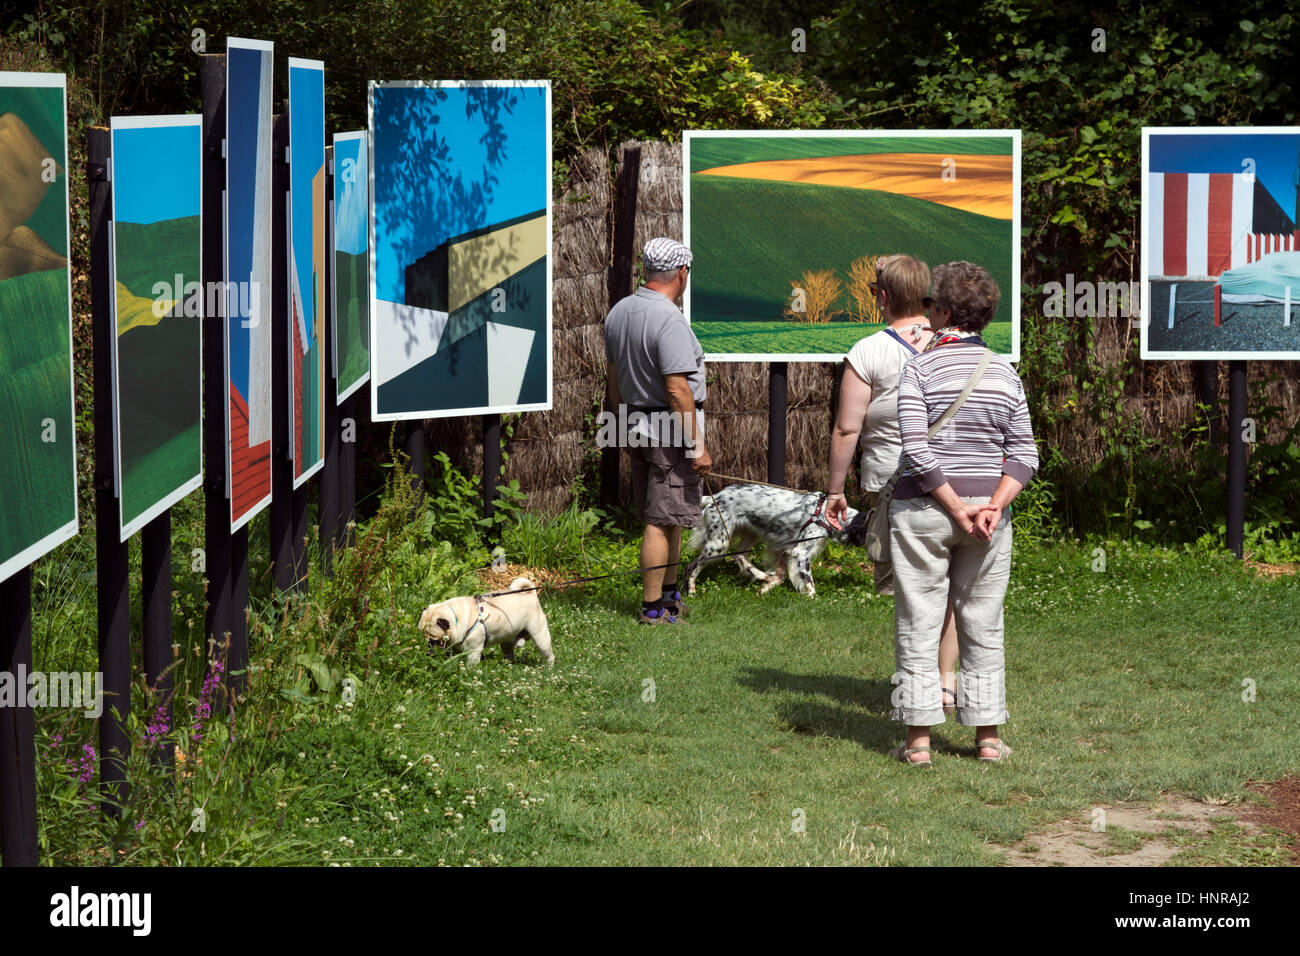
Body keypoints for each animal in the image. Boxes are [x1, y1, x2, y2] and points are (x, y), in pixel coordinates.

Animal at [686, 486, 868, 598]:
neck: (827, 516)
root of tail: (714, 497)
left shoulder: (782, 548)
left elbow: (780, 575)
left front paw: (765, 587)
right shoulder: (800, 552)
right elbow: (809, 582)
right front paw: (812, 598)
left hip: (750, 533)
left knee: (740, 555)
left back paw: (760, 574)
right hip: (718, 543)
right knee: (693, 565)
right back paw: (691, 591)